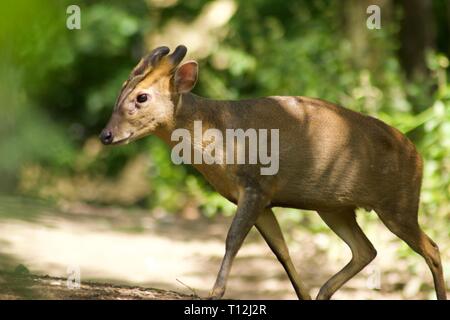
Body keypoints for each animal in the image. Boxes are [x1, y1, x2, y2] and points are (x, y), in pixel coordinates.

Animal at [100, 45, 448, 300]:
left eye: (141, 97)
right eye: (119, 92)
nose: (106, 135)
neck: (217, 135)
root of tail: (418, 155)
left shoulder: (256, 185)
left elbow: (232, 240)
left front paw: (214, 293)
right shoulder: (263, 198)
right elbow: (281, 250)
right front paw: (303, 295)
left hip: (399, 203)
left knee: (431, 247)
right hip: (334, 207)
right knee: (366, 249)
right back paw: (323, 293)